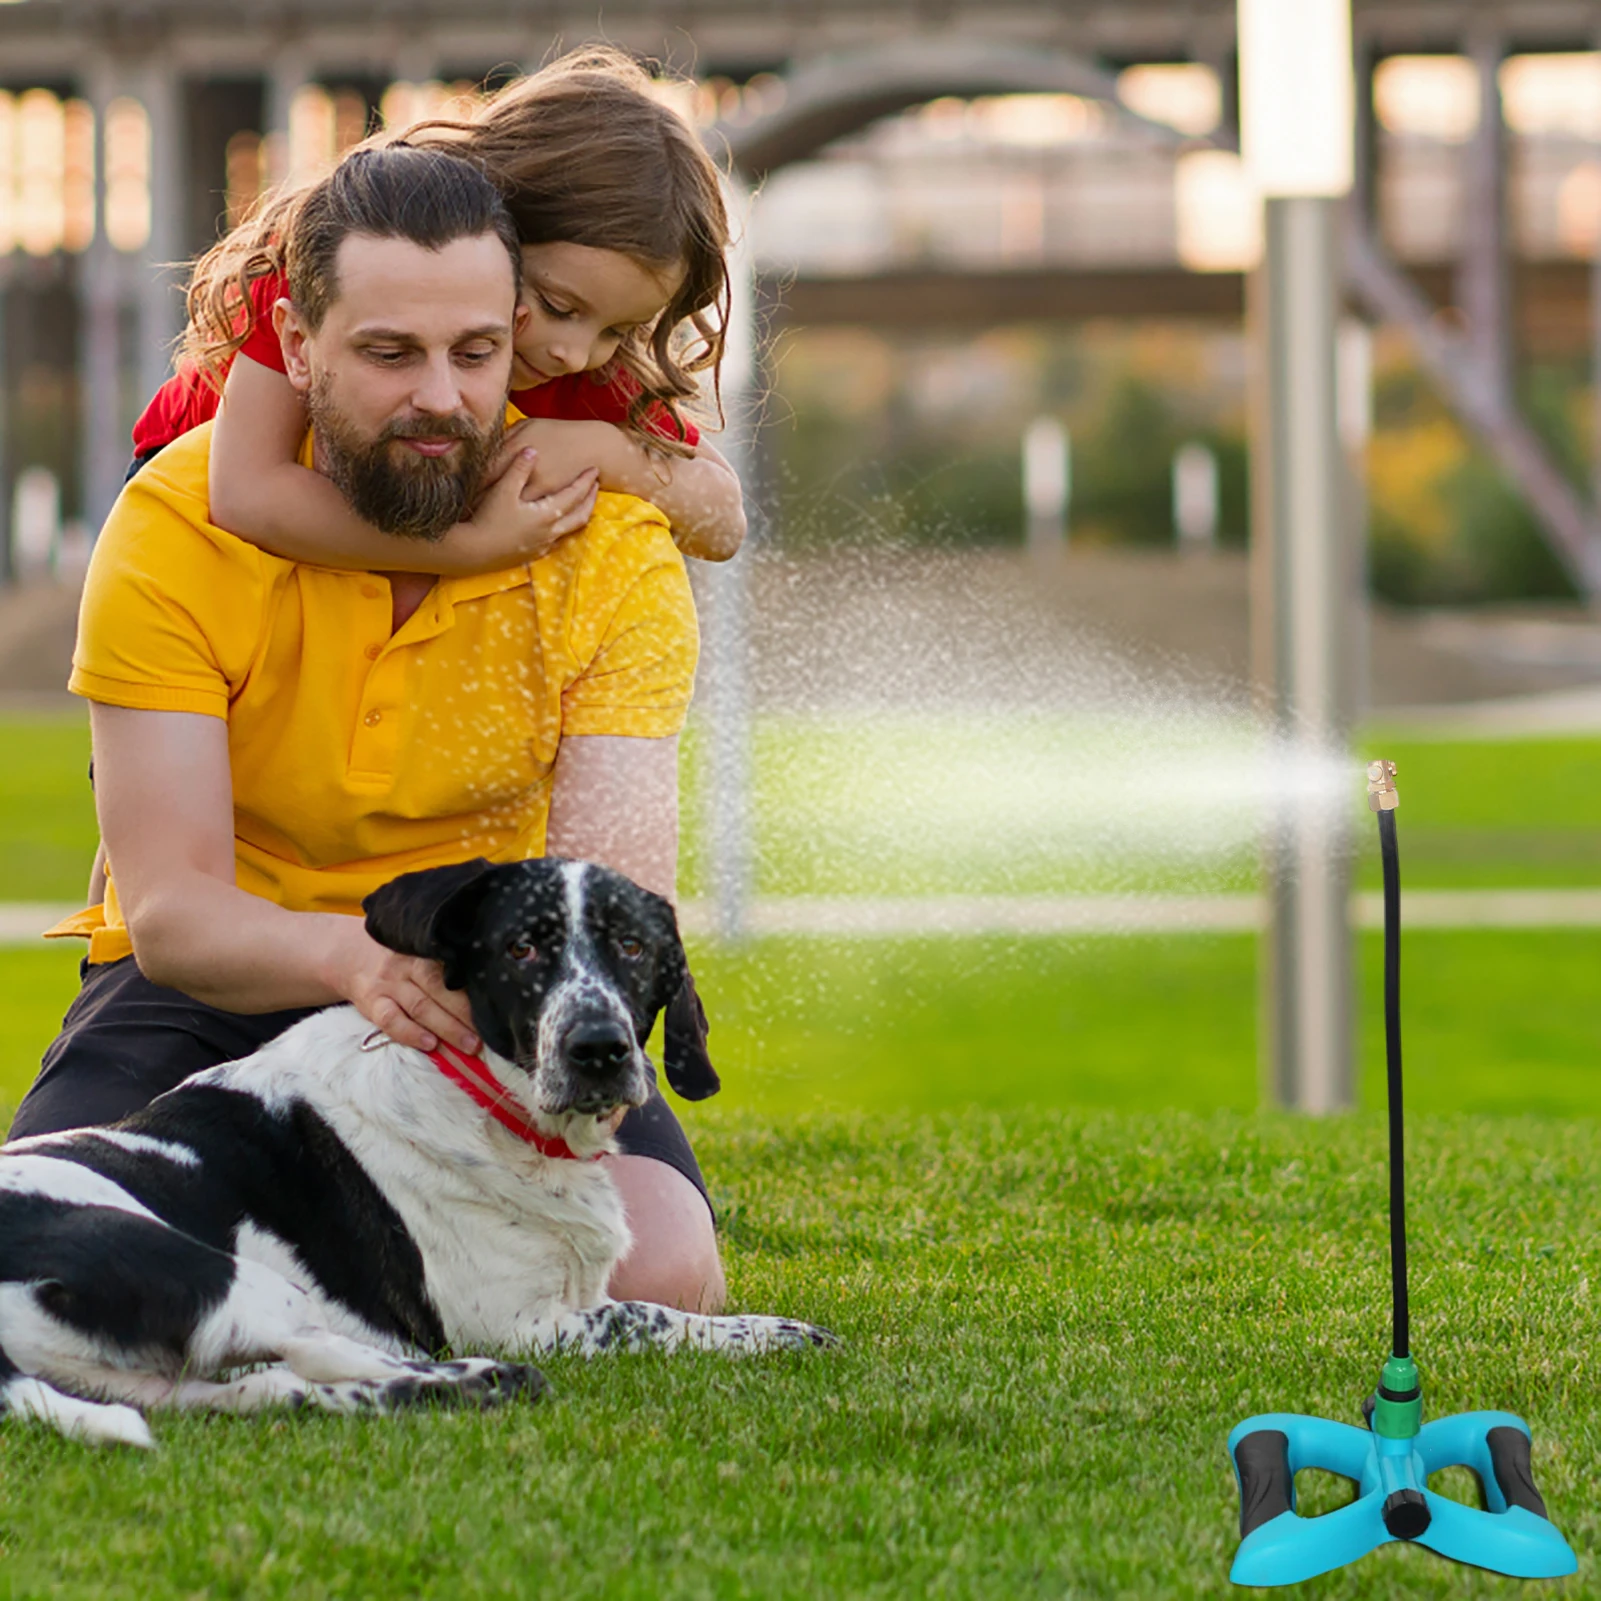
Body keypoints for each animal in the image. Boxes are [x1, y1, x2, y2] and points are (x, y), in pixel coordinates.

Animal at [0, 864, 826, 1453]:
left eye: (632, 945)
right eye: (522, 946)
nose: (598, 1048)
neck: (481, 1095)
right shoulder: (522, 1320)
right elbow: (643, 1315)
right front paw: (772, 1331)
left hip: (166, 1379)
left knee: (277, 1388)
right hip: (231, 1279)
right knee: (327, 1353)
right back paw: (484, 1378)